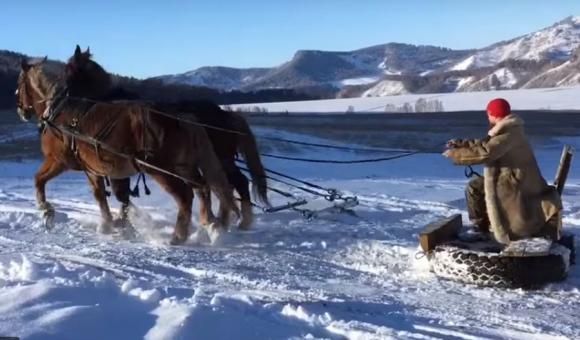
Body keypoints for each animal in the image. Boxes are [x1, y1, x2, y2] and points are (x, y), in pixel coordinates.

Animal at [16, 58, 238, 244]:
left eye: (19, 85)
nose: (21, 110)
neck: (61, 112)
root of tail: (180, 117)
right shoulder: (100, 169)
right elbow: (112, 195)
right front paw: (120, 223)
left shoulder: (60, 161)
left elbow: (40, 180)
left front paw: (46, 211)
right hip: (183, 166)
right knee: (202, 188)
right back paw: (210, 224)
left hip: (161, 170)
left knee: (186, 195)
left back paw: (179, 236)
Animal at [65, 46, 270, 230]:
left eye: (70, 68)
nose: (64, 94)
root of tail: (226, 115)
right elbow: (123, 194)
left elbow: (121, 193)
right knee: (229, 185)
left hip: (218, 160)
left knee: (232, 184)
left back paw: (234, 222)